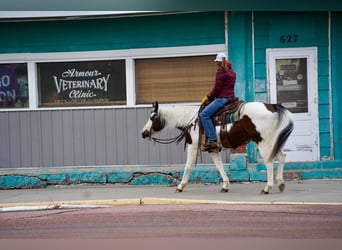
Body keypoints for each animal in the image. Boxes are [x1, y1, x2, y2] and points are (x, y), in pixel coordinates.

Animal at [142, 100, 294, 194]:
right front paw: (225, 185)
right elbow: (219, 166)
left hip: (263, 142)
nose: (143, 133)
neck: (191, 120)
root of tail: (271, 106)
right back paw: (280, 183)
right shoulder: (213, 149)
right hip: (272, 141)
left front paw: (180, 186)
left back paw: (267, 188)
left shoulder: (192, 147)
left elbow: (187, 166)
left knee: (269, 163)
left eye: (152, 117)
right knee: (282, 157)